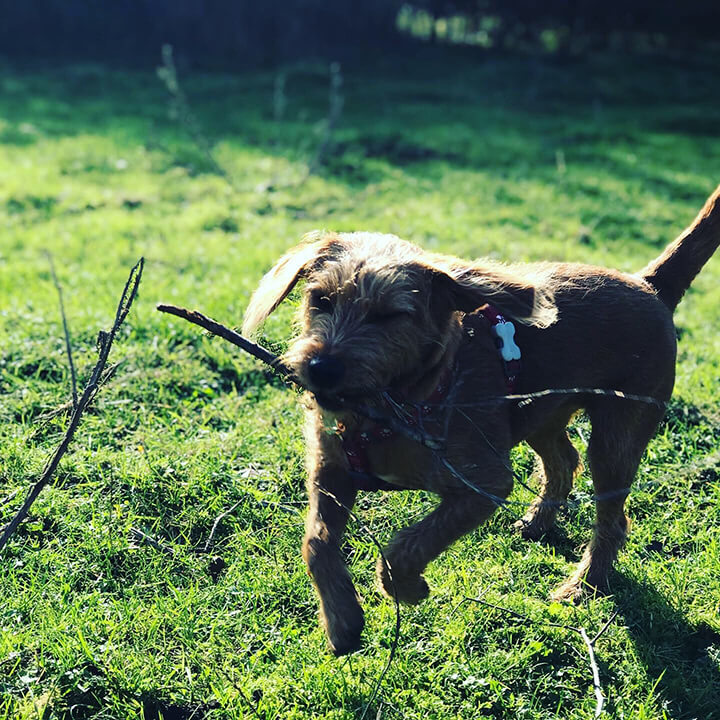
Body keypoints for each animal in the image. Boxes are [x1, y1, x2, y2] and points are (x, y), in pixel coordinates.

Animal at [243, 186, 720, 660]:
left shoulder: (482, 485)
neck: (391, 408)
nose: (321, 368)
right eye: (321, 299)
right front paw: (342, 620)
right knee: (563, 462)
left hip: (616, 437)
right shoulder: (331, 473)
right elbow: (317, 543)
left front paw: (406, 587)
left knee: (612, 519)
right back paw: (537, 524)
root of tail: (649, 284)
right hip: (537, 416)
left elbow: (408, 544)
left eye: (389, 315)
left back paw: (583, 586)